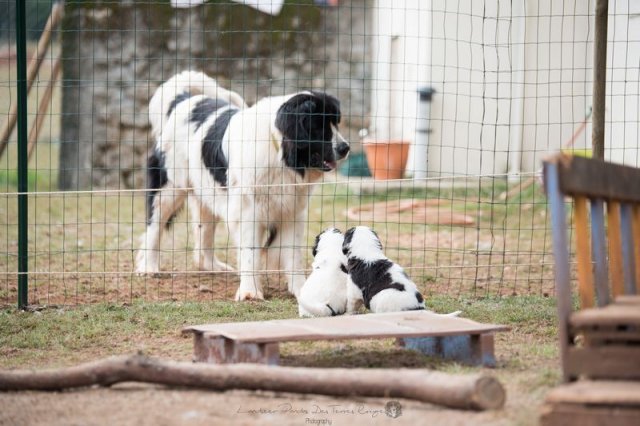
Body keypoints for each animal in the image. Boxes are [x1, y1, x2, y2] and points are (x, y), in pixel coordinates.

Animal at [135, 70, 350, 301]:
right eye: (319, 126)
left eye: (336, 124)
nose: (345, 147)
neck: (278, 153)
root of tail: (184, 99)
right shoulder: (248, 212)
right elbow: (250, 253)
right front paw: (250, 292)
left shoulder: (292, 211)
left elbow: (293, 255)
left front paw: (301, 290)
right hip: (169, 189)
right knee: (155, 227)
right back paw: (149, 267)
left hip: (211, 192)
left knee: (204, 230)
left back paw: (212, 266)